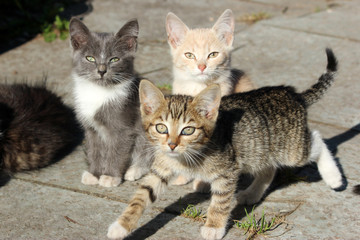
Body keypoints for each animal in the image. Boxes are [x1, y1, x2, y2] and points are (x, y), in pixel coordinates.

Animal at [69, 18, 151, 188]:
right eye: (90, 58)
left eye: (114, 59)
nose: (101, 71)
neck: (99, 91)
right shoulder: (91, 129)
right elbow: (94, 150)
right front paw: (94, 174)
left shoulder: (123, 127)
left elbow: (117, 151)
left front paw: (110, 177)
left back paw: (134, 170)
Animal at [107, 47, 344, 239]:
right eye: (161, 128)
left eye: (188, 130)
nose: (172, 145)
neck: (185, 157)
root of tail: (293, 94)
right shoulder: (160, 170)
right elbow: (140, 197)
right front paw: (121, 226)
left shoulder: (227, 171)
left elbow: (220, 201)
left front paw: (214, 227)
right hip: (260, 149)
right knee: (269, 168)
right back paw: (251, 194)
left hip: (292, 150)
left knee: (317, 140)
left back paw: (334, 177)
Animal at [165, 8, 255, 188]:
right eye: (189, 55)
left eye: (213, 55)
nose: (201, 66)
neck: (199, 89)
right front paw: (183, 176)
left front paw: (201, 183)